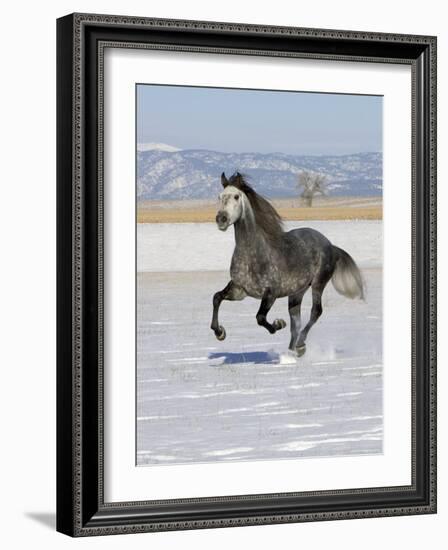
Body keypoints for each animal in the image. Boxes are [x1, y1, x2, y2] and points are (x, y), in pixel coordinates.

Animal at [210, 172, 364, 358]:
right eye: (220, 197)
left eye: (236, 196)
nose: (221, 219)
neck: (253, 256)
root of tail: (330, 245)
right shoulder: (239, 290)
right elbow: (216, 298)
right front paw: (220, 333)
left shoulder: (271, 293)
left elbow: (260, 317)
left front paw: (278, 324)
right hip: (297, 292)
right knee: (296, 323)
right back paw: (291, 353)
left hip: (318, 284)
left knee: (315, 312)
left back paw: (300, 345)